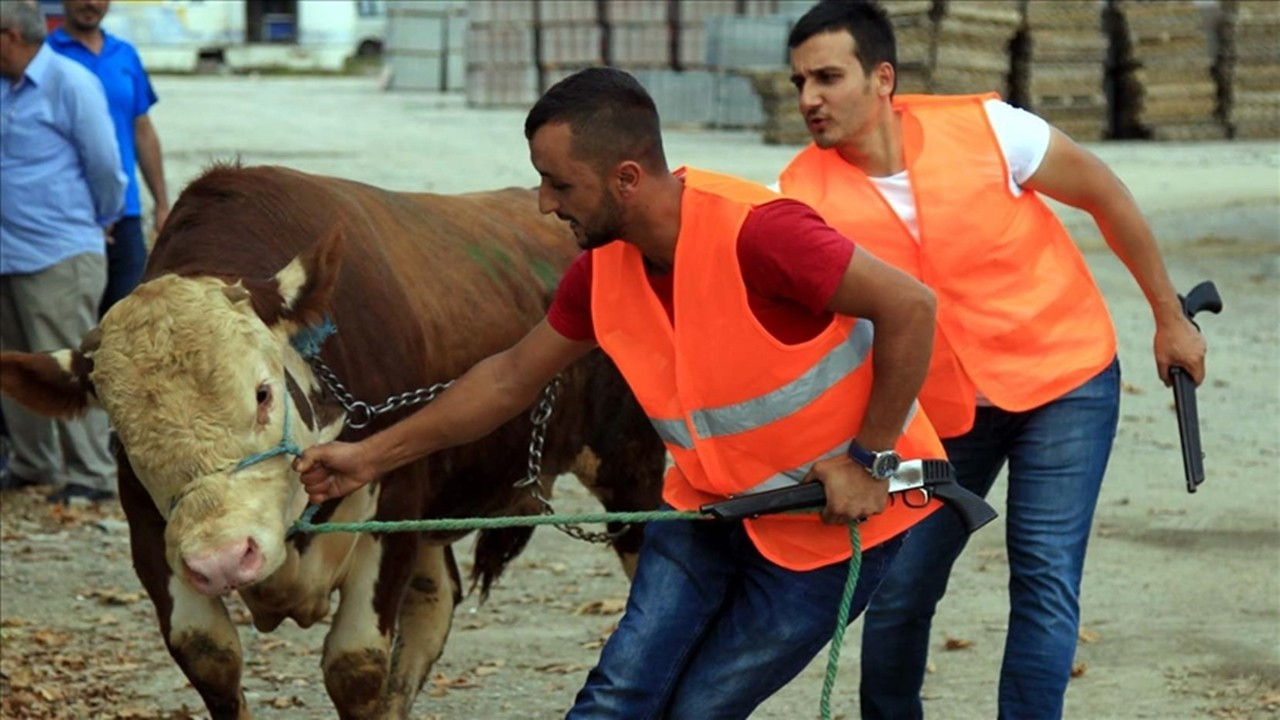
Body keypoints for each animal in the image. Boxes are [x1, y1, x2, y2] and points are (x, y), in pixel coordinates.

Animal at [0, 163, 660, 717]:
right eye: (121, 427)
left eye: (263, 392)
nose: (223, 559)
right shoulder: (151, 531)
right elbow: (209, 654)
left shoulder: (395, 507)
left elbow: (356, 665)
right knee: (433, 603)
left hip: (633, 472)